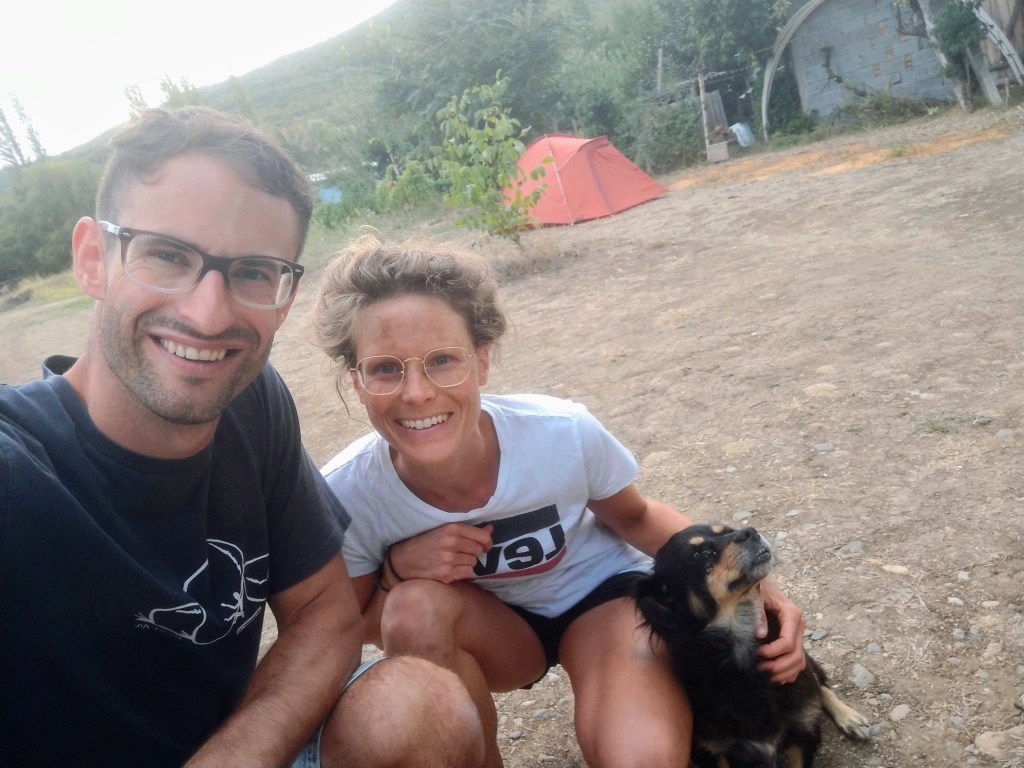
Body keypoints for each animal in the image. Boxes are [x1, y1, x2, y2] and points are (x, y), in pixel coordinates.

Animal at [634, 523, 871, 768]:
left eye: (727, 530)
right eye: (701, 554)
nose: (749, 531)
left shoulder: (801, 734)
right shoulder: (714, 750)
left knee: (819, 684)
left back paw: (850, 718)